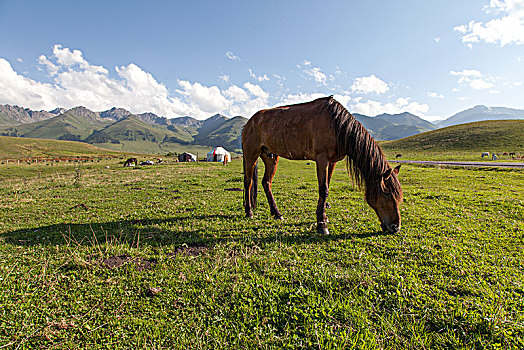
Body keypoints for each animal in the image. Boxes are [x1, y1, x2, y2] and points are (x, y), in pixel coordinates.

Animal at [244, 96, 404, 235]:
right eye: (387, 193)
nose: (396, 227)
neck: (338, 126)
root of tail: (250, 122)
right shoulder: (322, 159)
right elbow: (323, 189)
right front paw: (321, 224)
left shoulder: (332, 161)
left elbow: (327, 184)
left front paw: (324, 216)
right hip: (251, 155)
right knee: (248, 182)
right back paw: (249, 212)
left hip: (270, 157)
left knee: (266, 182)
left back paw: (276, 213)